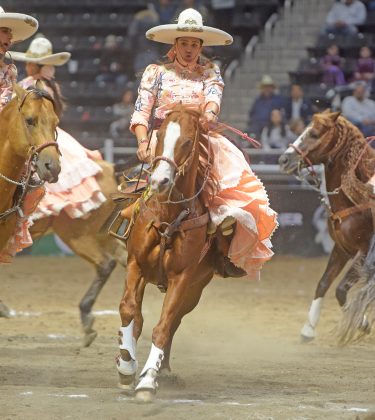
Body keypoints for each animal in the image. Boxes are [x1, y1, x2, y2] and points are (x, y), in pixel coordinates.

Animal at [116, 105, 234, 400]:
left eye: (188, 141)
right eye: (158, 136)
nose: (160, 180)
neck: (168, 217)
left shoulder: (182, 278)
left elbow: (163, 327)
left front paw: (148, 380)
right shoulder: (135, 265)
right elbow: (128, 311)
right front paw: (126, 367)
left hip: (195, 289)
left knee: (173, 323)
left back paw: (164, 369)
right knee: (138, 317)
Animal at [280, 110, 374, 342]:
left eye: (313, 134)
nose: (284, 159)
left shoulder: (365, 251)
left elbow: (341, 290)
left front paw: (362, 323)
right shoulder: (341, 248)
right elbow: (323, 283)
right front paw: (308, 329)